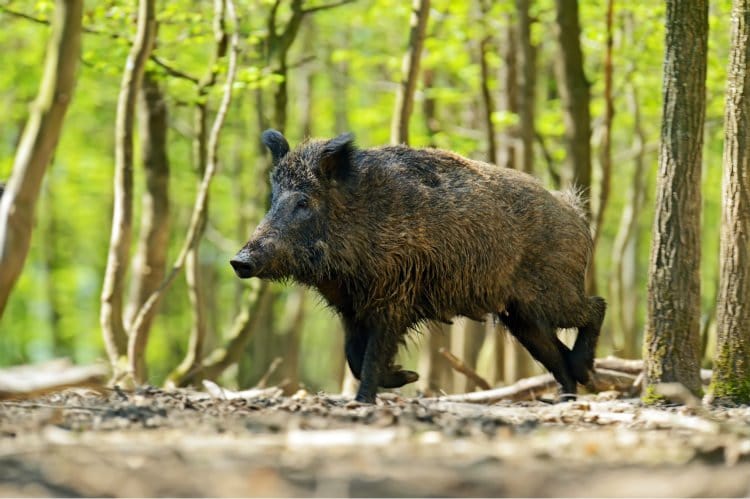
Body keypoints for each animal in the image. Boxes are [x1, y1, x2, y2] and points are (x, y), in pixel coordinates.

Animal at [231, 130, 606, 403]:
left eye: (303, 202)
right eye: (273, 199)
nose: (239, 261)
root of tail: (575, 210)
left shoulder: (394, 298)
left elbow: (371, 356)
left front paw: (368, 400)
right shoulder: (351, 308)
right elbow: (353, 355)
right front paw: (405, 378)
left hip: (552, 293)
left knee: (596, 307)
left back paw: (583, 375)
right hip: (520, 315)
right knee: (554, 352)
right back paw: (567, 395)